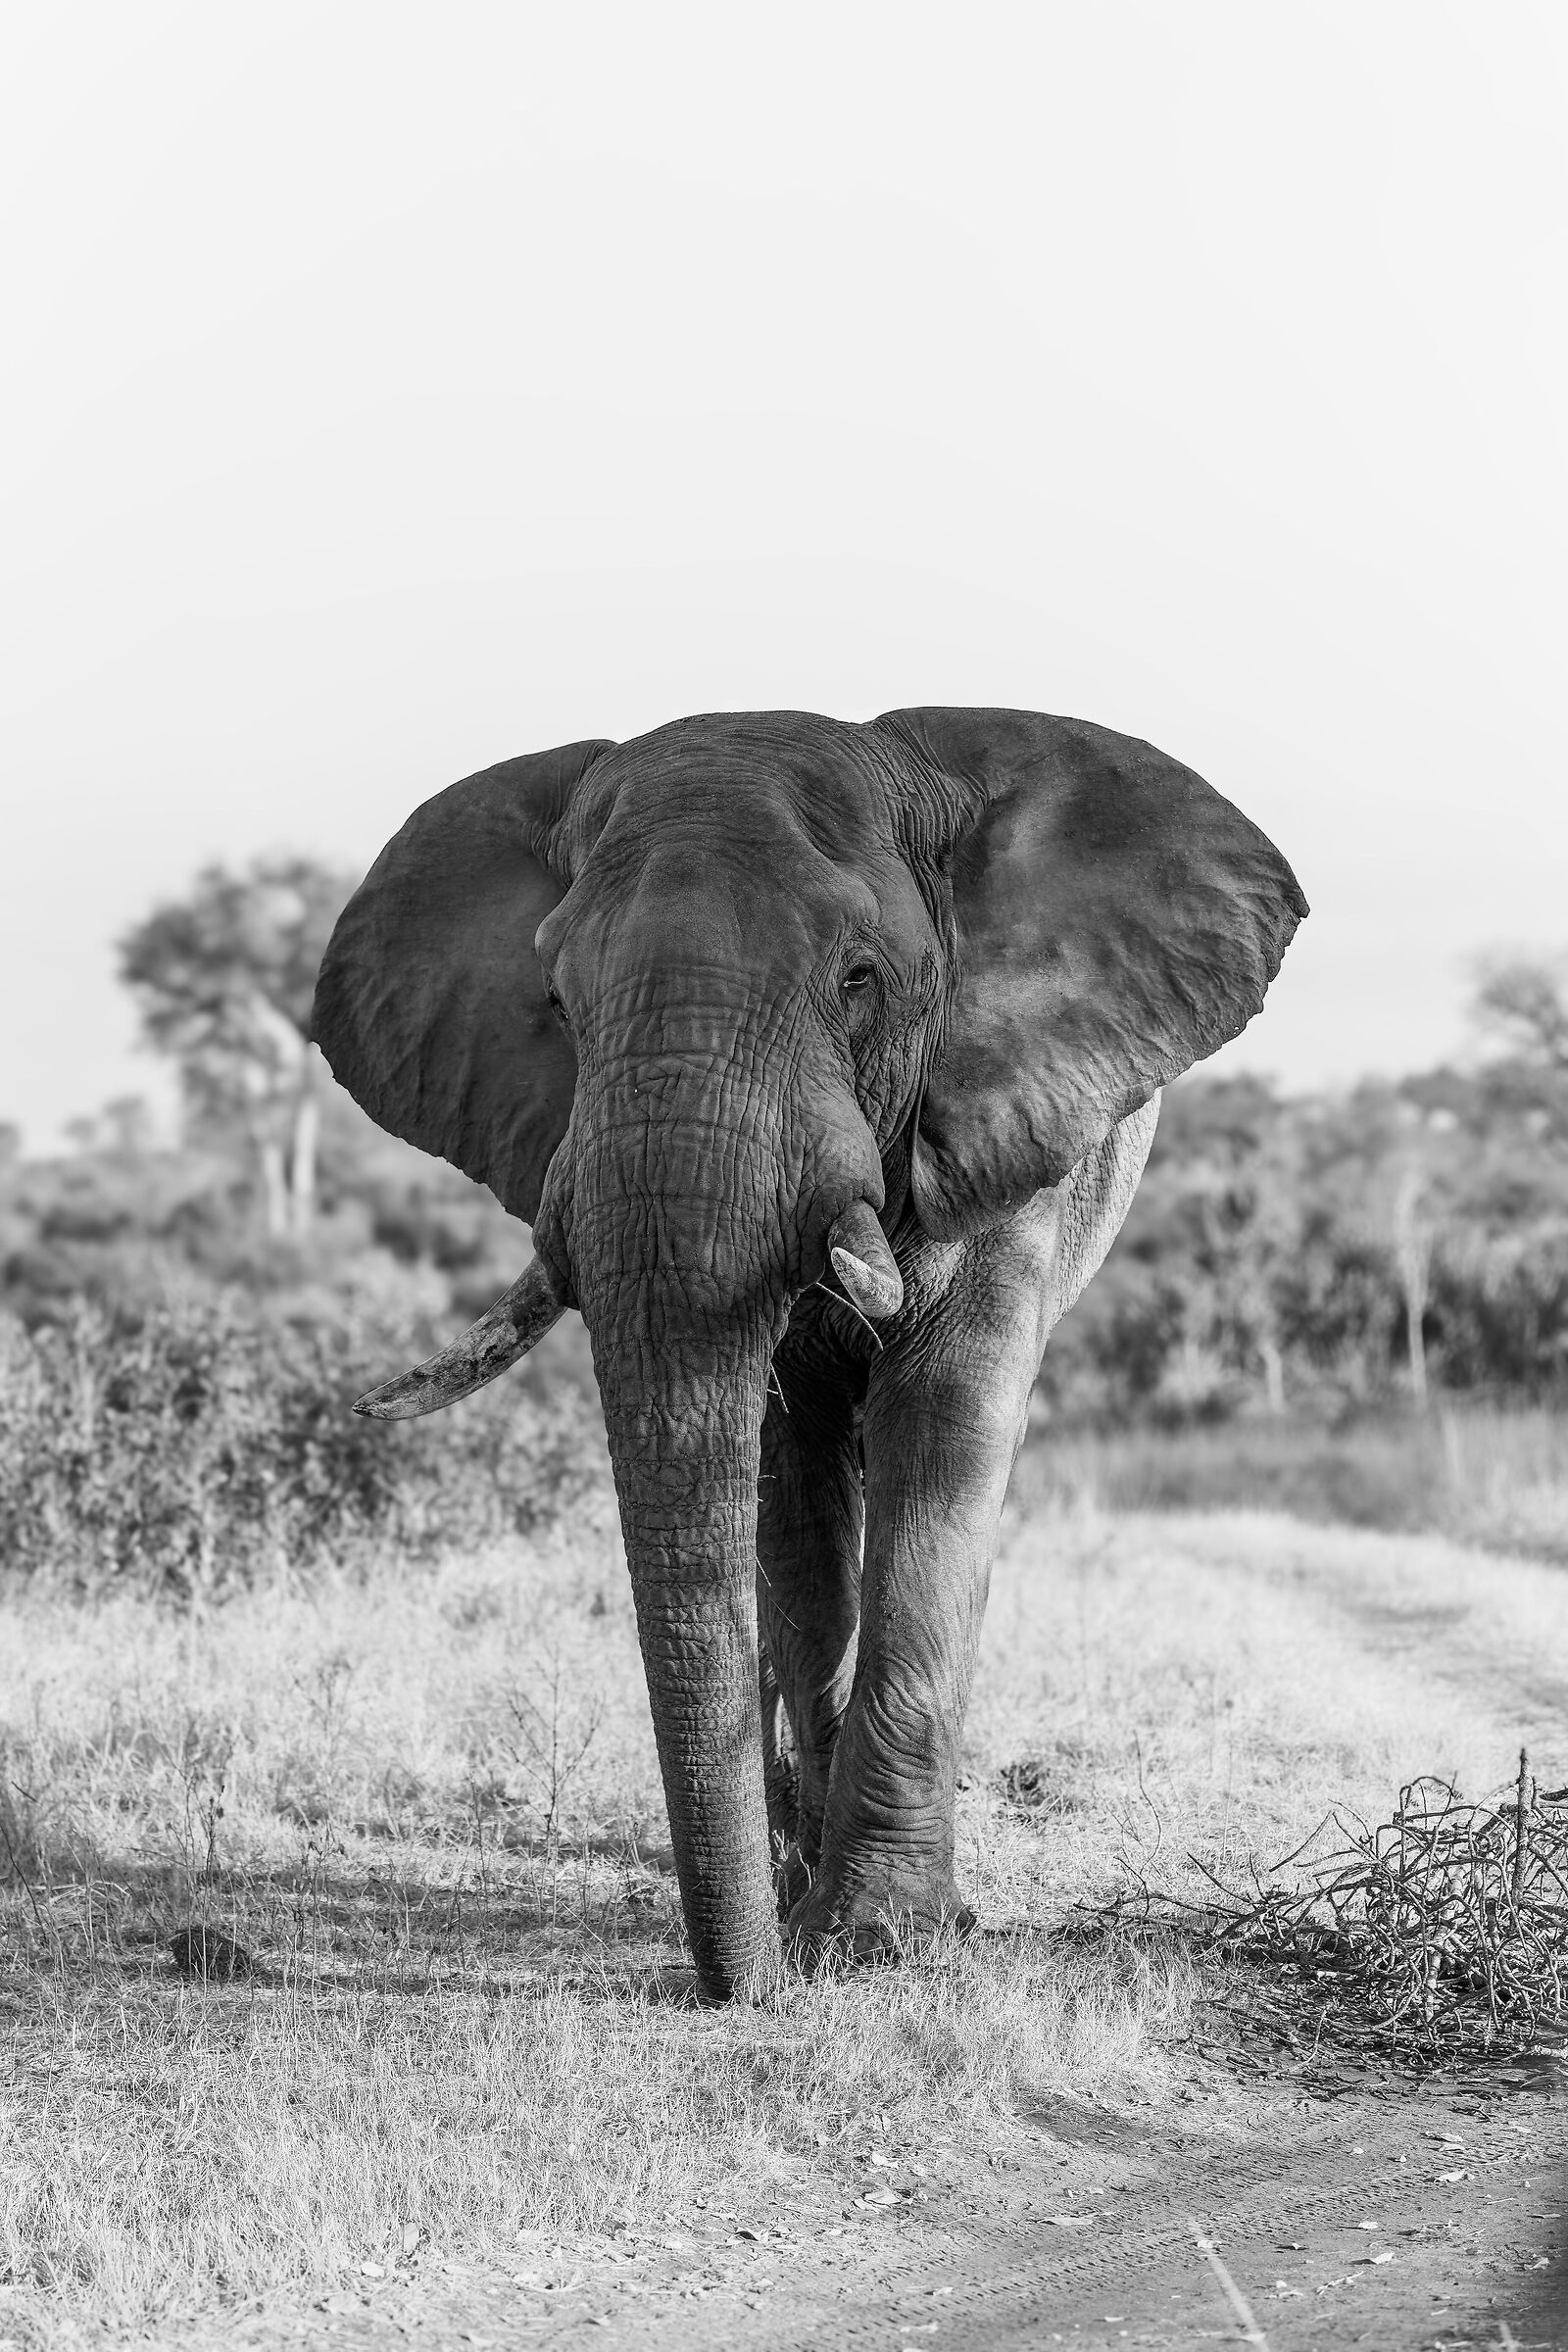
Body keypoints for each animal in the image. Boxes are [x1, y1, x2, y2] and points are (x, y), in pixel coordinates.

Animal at [312, 706, 1305, 2002]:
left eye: (858, 981)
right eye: (557, 1000)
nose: (742, 1991)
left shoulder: (996, 1118)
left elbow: (942, 1417)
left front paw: (880, 1945)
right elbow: (786, 1470)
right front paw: (818, 1933)